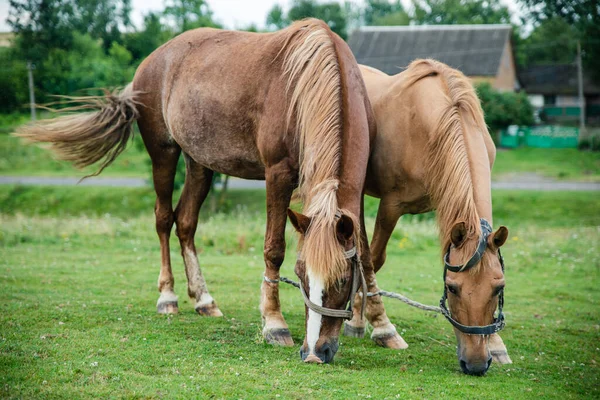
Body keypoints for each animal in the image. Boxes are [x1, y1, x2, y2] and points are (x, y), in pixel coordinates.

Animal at [15, 20, 398, 364]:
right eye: (302, 275)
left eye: (342, 280)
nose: (316, 353)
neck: (308, 84)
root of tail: (151, 61)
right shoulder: (278, 174)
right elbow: (273, 250)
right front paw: (274, 323)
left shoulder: (355, 192)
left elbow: (366, 254)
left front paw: (384, 327)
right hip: (164, 154)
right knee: (163, 219)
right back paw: (168, 297)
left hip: (199, 163)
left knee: (185, 223)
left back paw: (203, 299)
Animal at [346, 59, 510, 376]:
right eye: (452, 288)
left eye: (499, 287)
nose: (475, 364)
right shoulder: (391, 206)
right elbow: (375, 258)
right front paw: (377, 326)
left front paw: (496, 345)